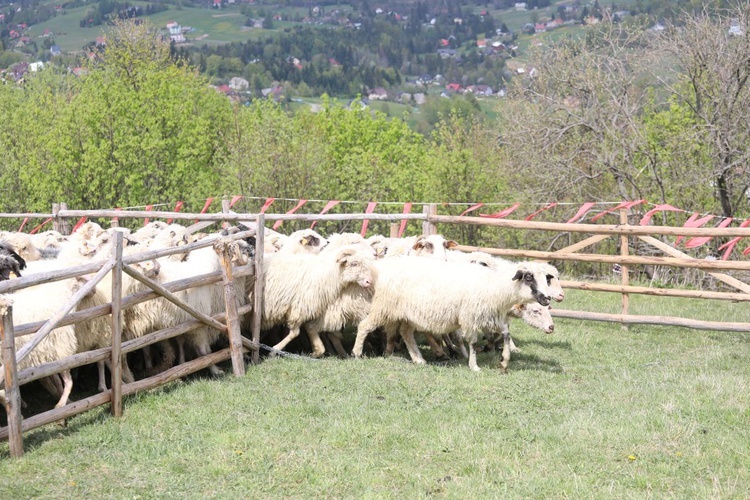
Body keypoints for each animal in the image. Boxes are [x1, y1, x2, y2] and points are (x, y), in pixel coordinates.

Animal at [352, 258, 552, 372]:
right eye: (529, 277)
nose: (547, 297)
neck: (494, 287)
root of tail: (381, 270)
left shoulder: (490, 316)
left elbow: (506, 335)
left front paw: (504, 362)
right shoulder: (470, 317)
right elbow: (472, 342)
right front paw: (474, 366)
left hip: (409, 314)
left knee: (406, 333)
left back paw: (418, 359)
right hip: (384, 307)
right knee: (365, 325)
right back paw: (357, 352)